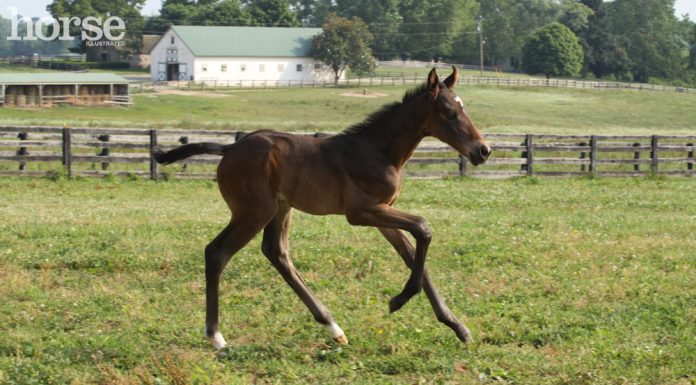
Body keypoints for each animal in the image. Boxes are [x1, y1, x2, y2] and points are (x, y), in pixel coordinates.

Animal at [154, 67, 490, 348]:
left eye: (463, 108)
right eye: (449, 112)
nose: (483, 151)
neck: (378, 151)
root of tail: (230, 147)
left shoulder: (382, 213)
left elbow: (412, 254)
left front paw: (458, 327)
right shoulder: (362, 213)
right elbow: (423, 227)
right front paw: (398, 300)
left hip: (280, 208)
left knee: (276, 252)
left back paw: (333, 327)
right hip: (253, 212)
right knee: (217, 252)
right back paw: (217, 337)